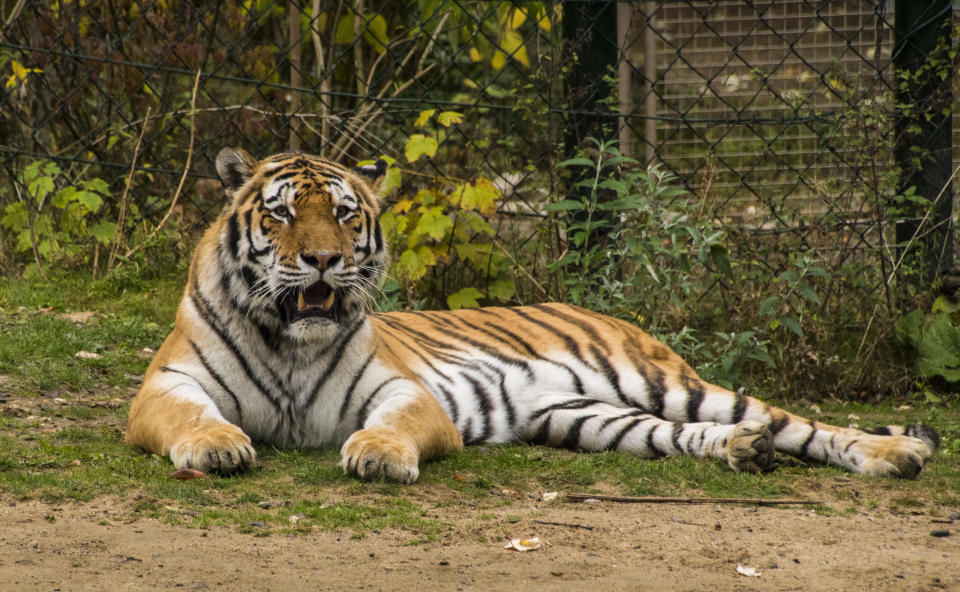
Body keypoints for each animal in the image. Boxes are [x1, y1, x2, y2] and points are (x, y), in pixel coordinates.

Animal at [124, 147, 940, 480]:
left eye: (347, 215)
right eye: (285, 215)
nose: (324, 260)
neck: (291, 341)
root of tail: (613, 312)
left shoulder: (403, 390)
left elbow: (392, 425)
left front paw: (378, 456)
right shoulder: (164, 387)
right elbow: (193, 417)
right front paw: (217, 447)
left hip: (670, 384)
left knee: (801, 425)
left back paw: (892, 455)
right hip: (589, 417)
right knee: (689, 436)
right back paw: (742, 451)